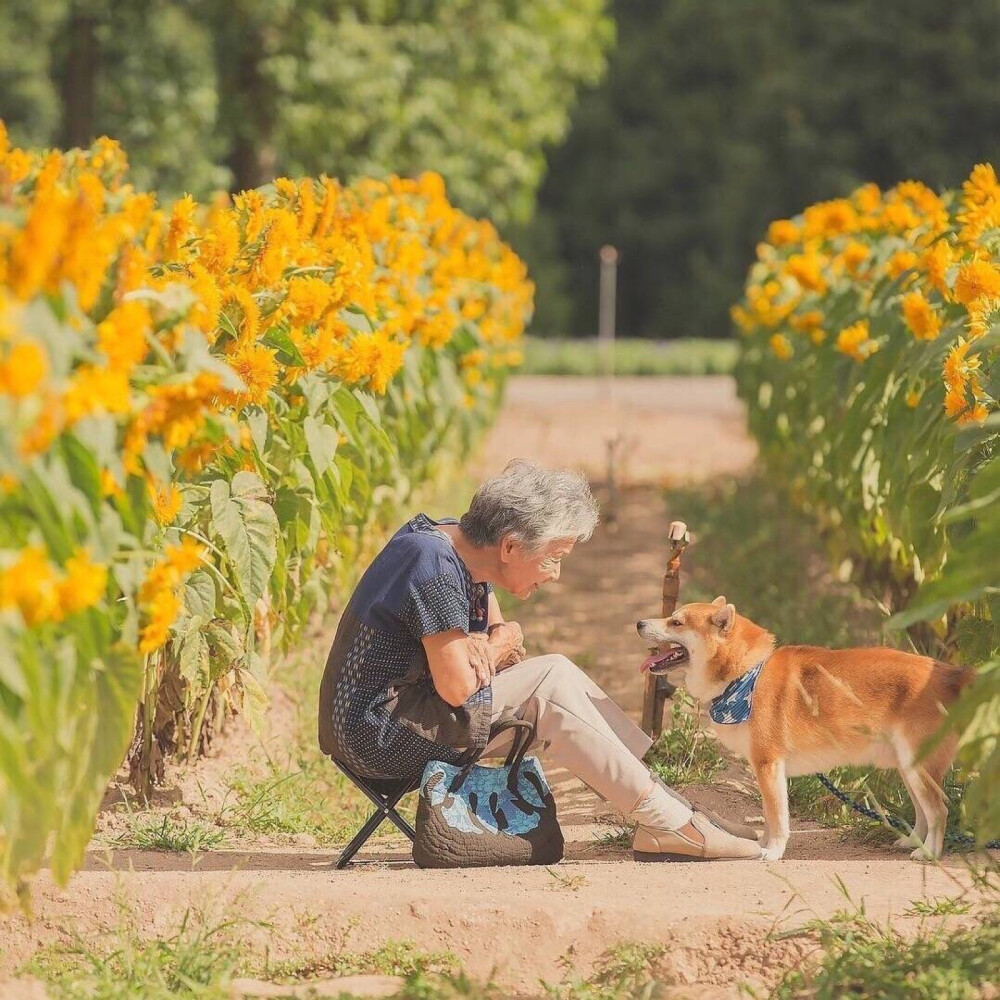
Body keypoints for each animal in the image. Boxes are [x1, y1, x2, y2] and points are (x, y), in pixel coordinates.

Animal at [636, 596, 972, 864]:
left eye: (676, 622)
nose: (639, 623)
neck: (746, 675)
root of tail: (948, 673)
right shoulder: (766, 770)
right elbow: (769, 816)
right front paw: (762, 844)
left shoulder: (769, 765)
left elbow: (778, 819)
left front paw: (773, 852)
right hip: (908, 767)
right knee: (923, 813)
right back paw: (913, 841)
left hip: (918, 767)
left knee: (938, 811)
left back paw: (929, 853)